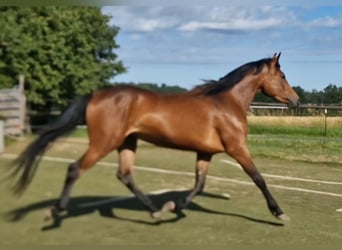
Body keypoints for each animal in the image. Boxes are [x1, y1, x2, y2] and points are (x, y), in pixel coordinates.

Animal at [10, 52, 300, 221]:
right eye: (283, 75)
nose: (296, 101)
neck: (225, 103)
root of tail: (95, 95)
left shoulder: (205, 152)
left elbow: (199, 184)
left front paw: (178, 207)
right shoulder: (237, 148)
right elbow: (259, 178)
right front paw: (279, 212)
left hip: (127, 142)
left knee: (125, 175)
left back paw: (156, 210)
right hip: (105, 142)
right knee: (75, 168)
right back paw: (55, 211)